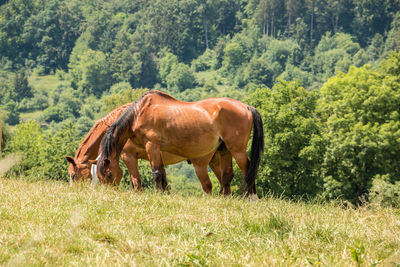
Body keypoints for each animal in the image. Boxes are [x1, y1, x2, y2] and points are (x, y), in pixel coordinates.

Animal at [96, 90, 264, 197]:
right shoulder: (157, 150)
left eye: (109, 174)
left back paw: (252, 197)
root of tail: (247, 107)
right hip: (224, 150)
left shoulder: (152, 145)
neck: (139, 113)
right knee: (227, 175)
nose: (108, 194)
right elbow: (162, 173)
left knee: (248, 169)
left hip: (237, 150)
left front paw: (158, 195)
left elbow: (156, 173)